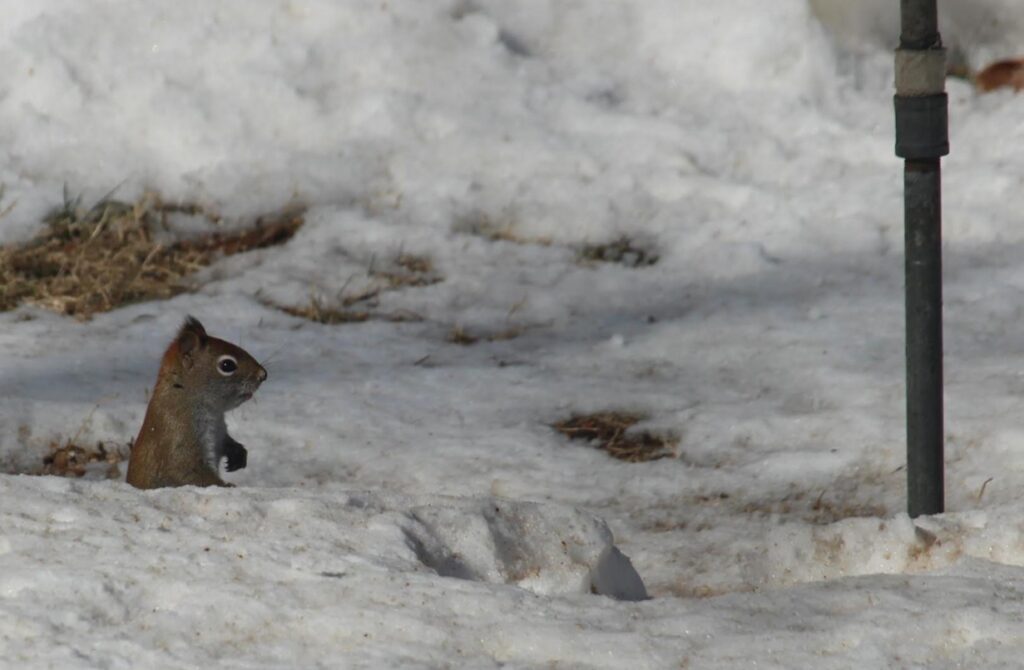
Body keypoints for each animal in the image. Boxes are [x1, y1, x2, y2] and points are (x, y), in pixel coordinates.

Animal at [126, 316, 267, 489]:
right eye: (227, 365)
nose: (263, 375)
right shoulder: (177, 436)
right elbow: (189, 474)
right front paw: (227, 486)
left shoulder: (219, 434)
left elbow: (227, 443)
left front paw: (238, 454)